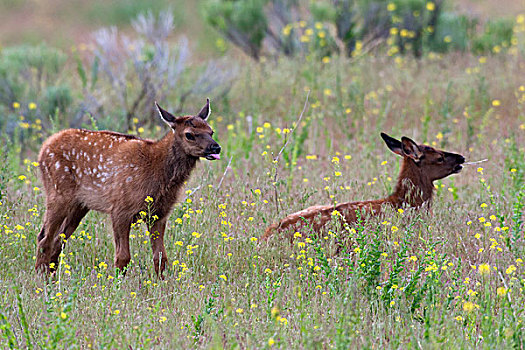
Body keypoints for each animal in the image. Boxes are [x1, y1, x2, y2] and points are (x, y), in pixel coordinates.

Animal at [34, 98, 219, 276]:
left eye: (211, 131)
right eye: (189, 135)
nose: (216, 147)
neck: (158, 172)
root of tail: (43, 149)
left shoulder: (159, 214)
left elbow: (160, 258)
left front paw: (162, 284)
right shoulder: (120, 209)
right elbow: (123, 257)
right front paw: (117, 284)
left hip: (80, 204)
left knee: (58, 240)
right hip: (58, 192)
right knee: (44, 237)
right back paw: (41, 278)